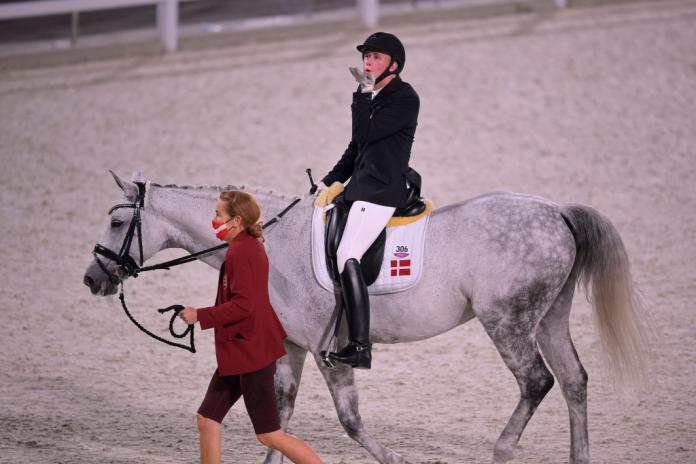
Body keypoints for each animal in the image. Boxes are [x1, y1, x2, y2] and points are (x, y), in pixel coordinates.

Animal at [84, 172, 648, 464]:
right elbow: (280, 415)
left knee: (536, 382)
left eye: (116, 222)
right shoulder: (291, 346)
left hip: (506, 321)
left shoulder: (327, 351)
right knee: (574, 380)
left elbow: (350, 420)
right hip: (548, 317)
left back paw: (502, 449)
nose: (92, 279)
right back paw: (578, 457)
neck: (272, 245)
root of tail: (556, 211)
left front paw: (394, 460)